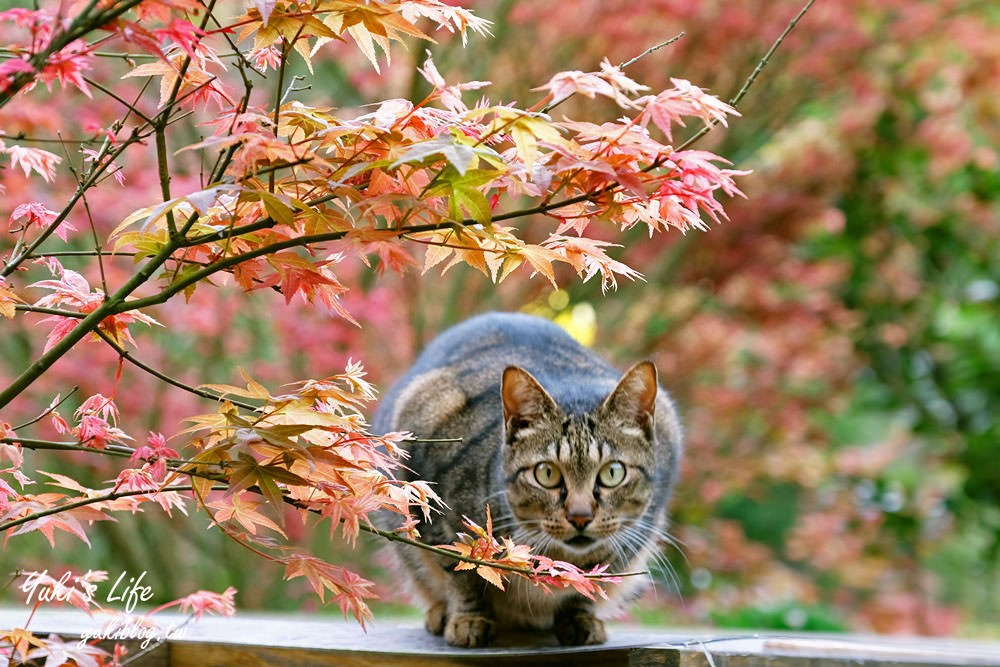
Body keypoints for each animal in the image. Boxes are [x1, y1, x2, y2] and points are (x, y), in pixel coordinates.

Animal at [372, 314, 684, 648]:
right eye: (547, 474)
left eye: (612, 473)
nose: (580, 516)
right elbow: (461, 572)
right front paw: (469, 619)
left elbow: (590, 582)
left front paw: (580, 618)